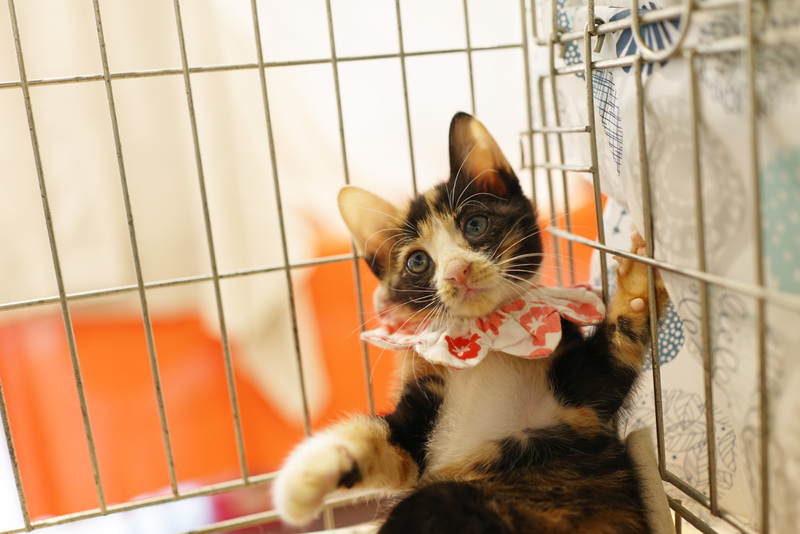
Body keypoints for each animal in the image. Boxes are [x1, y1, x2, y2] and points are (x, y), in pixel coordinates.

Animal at [272, 112, 668, 533]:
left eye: (475, 225)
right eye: (417, 261)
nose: (457, 271)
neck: (486, 336)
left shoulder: (582, 409)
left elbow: (612, 358)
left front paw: (639, 282)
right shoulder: (418, 425)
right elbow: (385, 439)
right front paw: (315, 470)